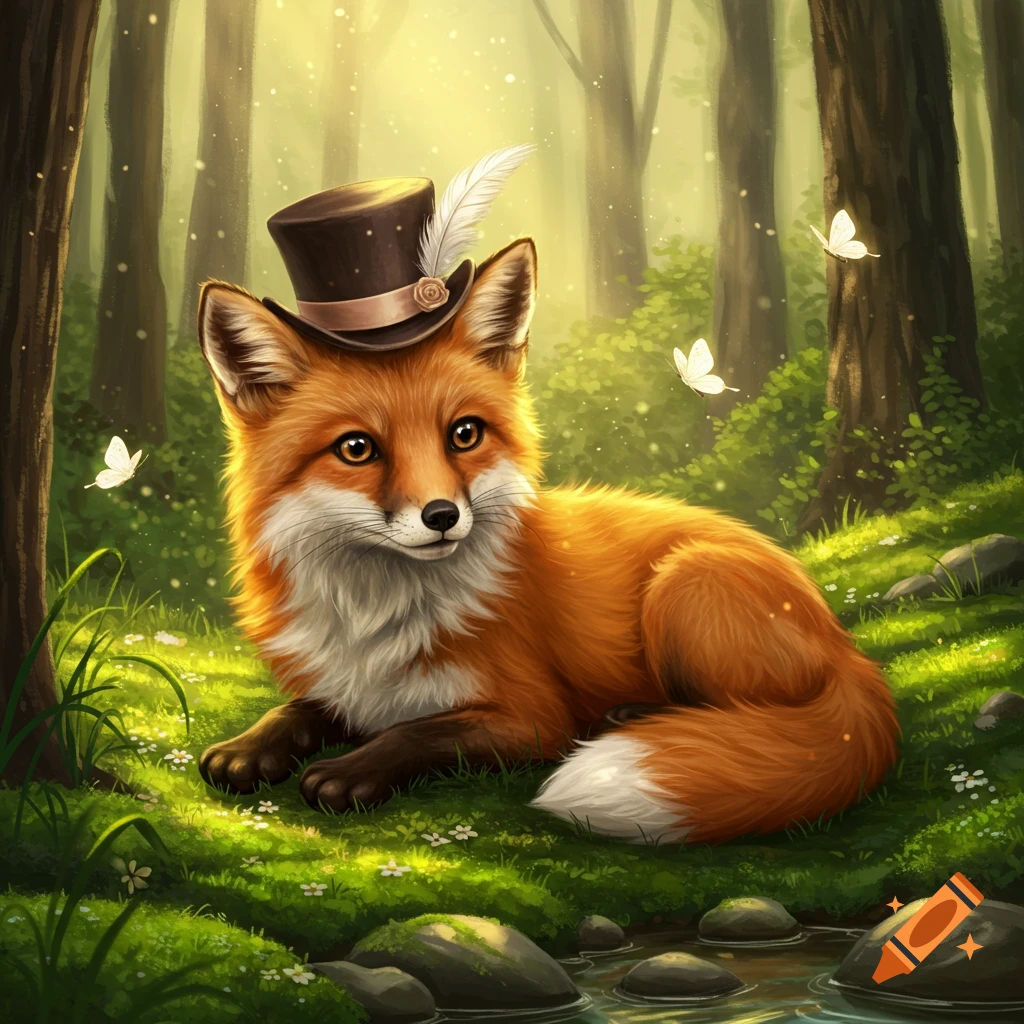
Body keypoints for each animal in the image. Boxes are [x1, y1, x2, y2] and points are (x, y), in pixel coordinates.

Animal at [195, 237, 899, 845]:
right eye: (356, 449)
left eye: (464, 434)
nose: (442, 515)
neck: (375, 618)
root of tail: (846, 647)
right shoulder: (349, 685)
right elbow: (301, 710)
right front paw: (250, 747)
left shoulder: (531, 719)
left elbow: (422, 732)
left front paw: (351, 770)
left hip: (685, 585)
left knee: (758, 715)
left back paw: (633, 720)